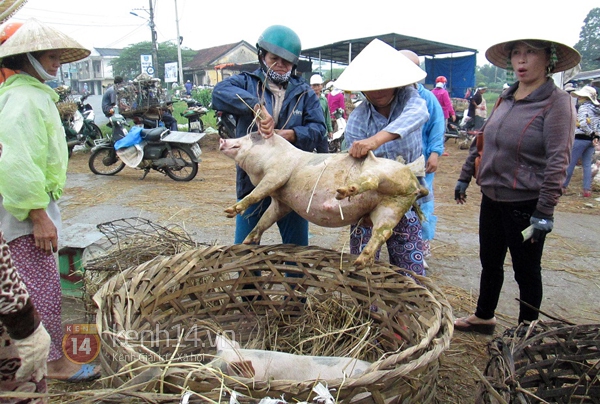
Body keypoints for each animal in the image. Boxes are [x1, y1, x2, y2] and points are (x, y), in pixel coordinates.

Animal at [219, 133, 426, 268]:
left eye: (250, 136)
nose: (222, 139)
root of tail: (414, 181)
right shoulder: (281, 203)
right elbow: (266, 219)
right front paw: (247, 241)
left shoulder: (278, 173)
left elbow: (257, 193)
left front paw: (229, 212)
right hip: (392, 206)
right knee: (383, 232)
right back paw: (361, 261)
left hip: (381, 174)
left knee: (370, 181)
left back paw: (343, 192)